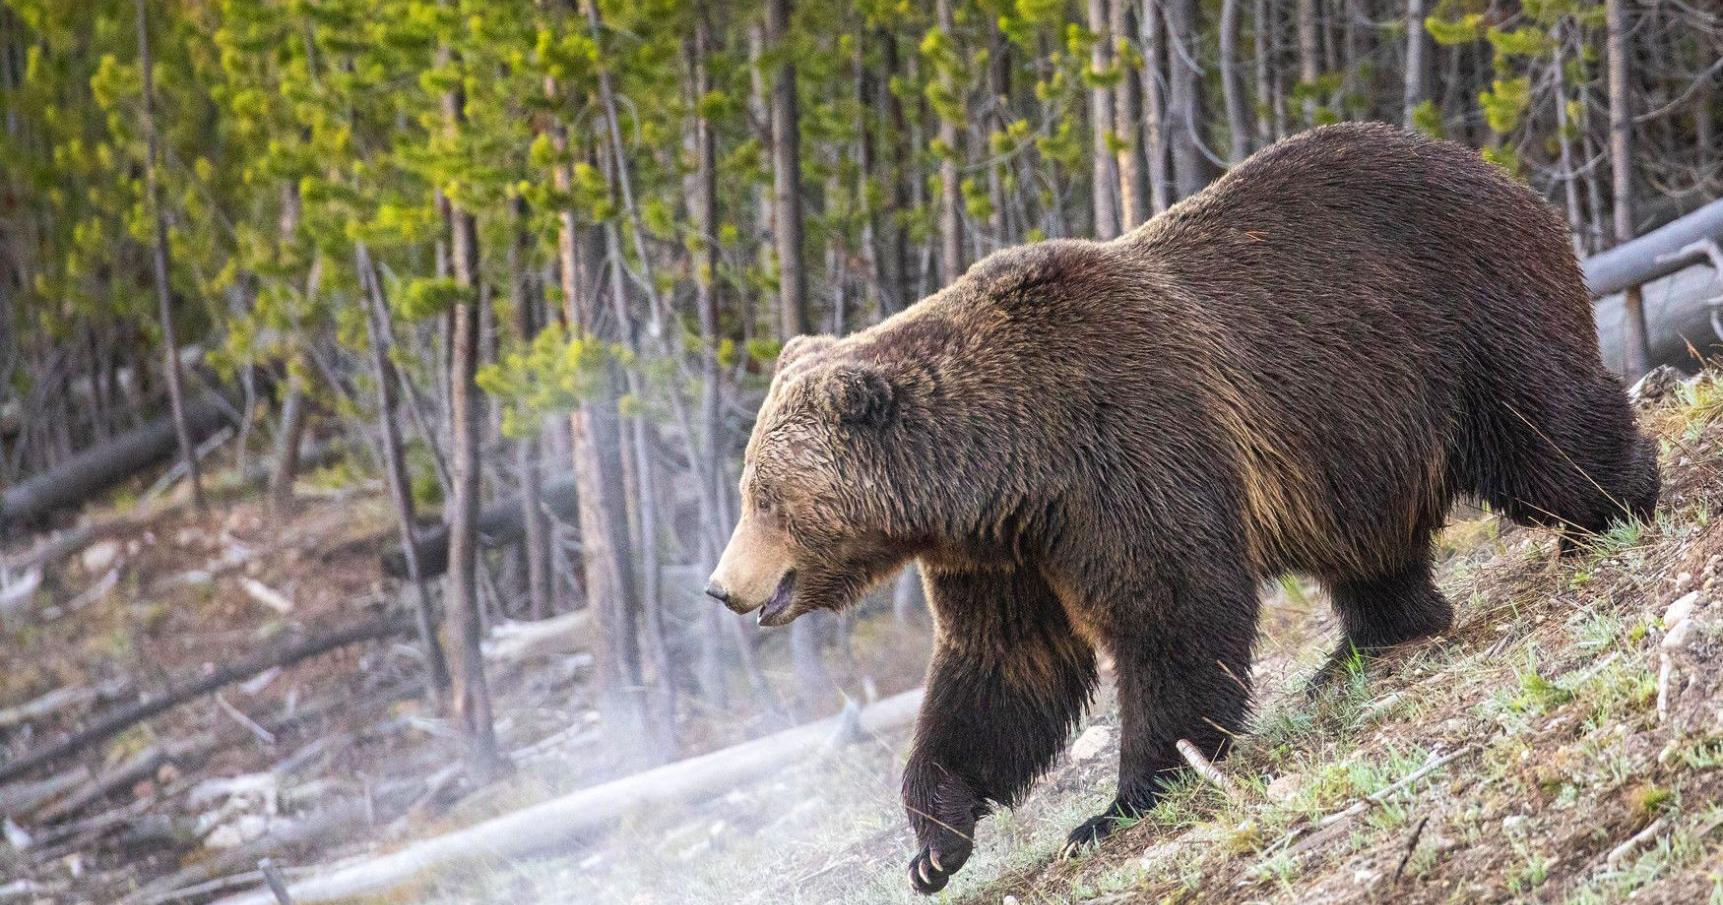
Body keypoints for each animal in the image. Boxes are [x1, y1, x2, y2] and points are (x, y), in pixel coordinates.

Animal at [704, 122, 1659, 895]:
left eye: (761, 494)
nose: (721, 586)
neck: (1004, 463)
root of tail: (1496, 170)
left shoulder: (1124, 448)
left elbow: (1171, 607)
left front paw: (1121, 799)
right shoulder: (1005, 549)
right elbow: (1001, 667)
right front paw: (935, 838)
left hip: (1457, 314)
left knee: (1540, 427)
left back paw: (1617, 503)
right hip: (1353, 433)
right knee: (1367, 541)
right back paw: (1364, 640)